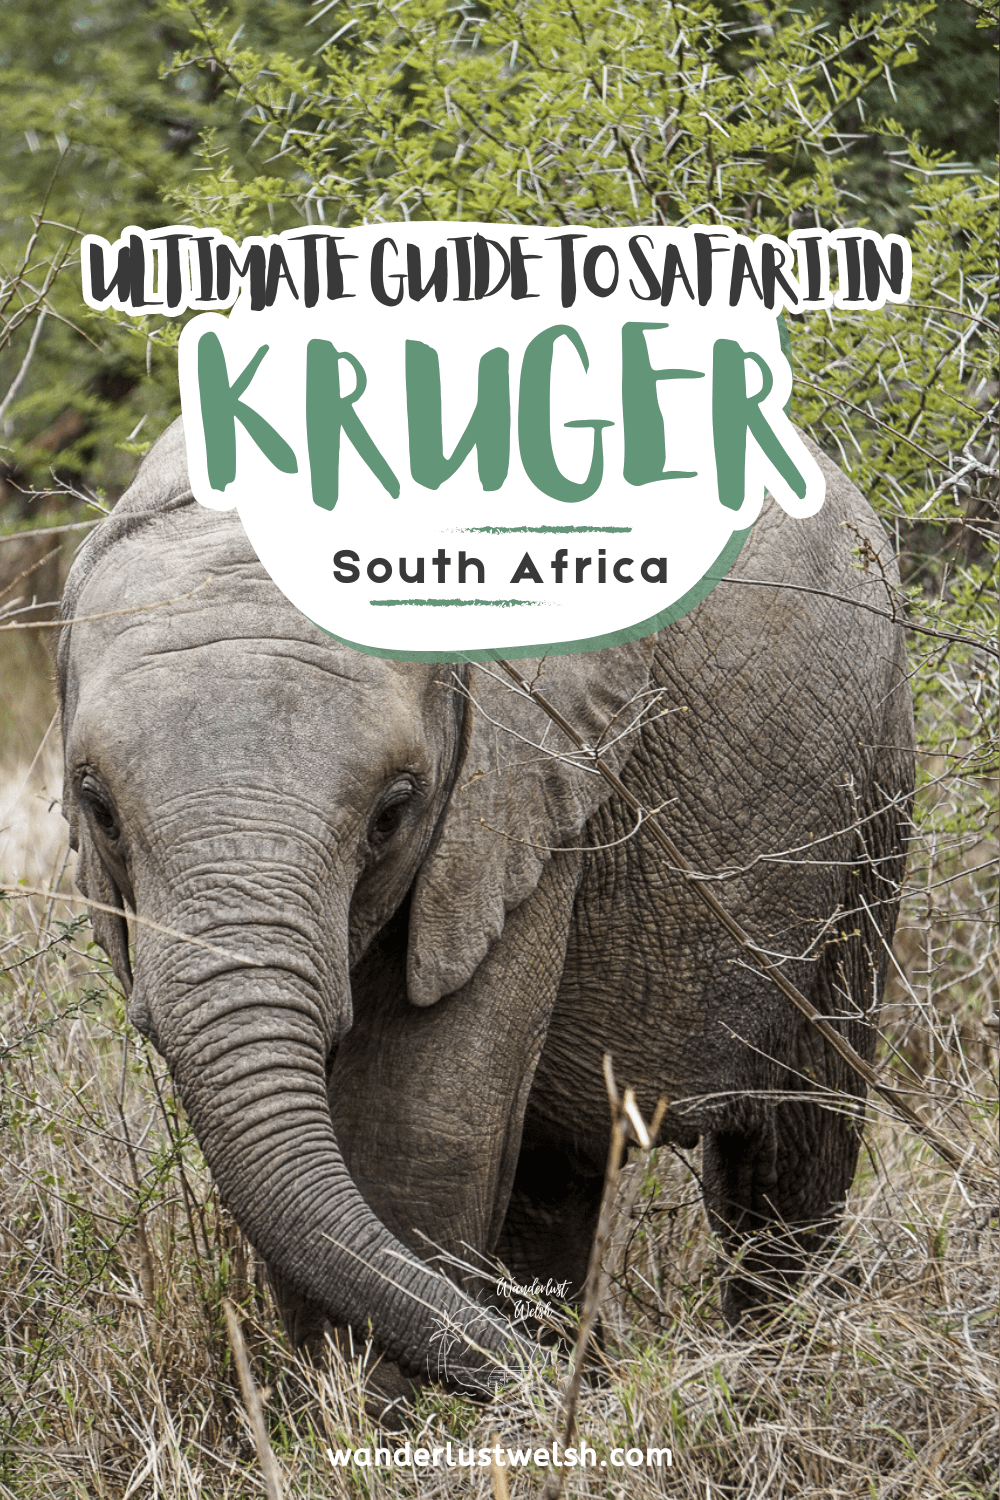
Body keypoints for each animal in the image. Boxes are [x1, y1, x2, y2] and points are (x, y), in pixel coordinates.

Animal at [58, 416, 914, 1392]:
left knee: (791, 1149)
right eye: (96, 807)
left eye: (395, 810)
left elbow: (420, 1130)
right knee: (559, 1179)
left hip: (871, 787)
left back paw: (771, 1372)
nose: (624, 1388)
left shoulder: (525, 798)